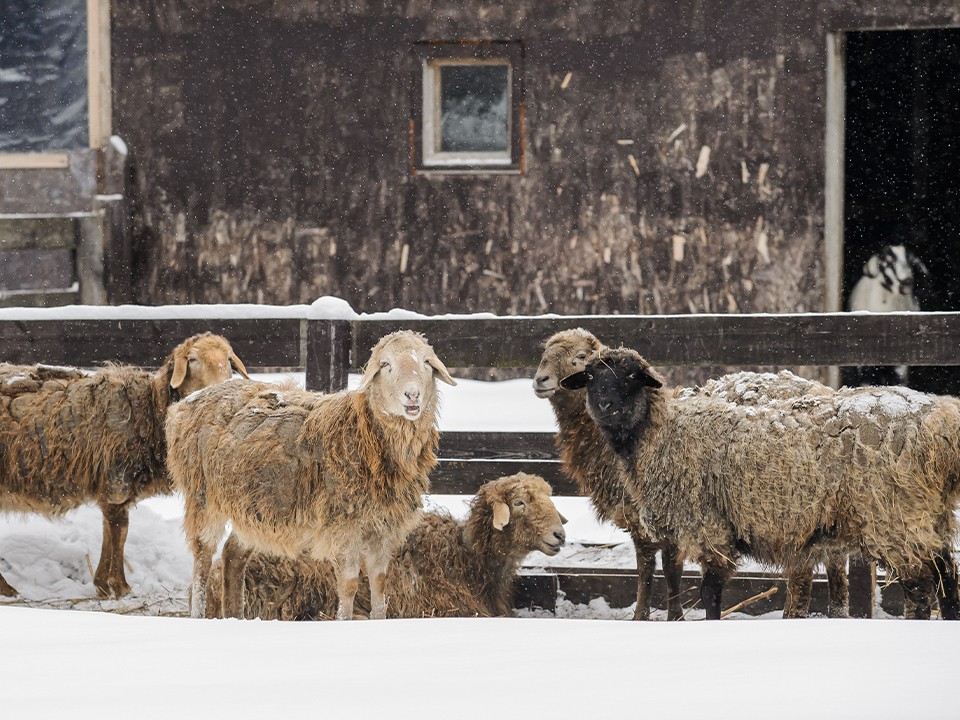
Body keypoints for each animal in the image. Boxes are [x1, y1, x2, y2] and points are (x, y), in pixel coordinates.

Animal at [0, 334, 248, 600]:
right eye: (192, 359)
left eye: (229, 360)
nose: (221, 387)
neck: (150, 411)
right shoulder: (117, 477)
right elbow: (120, 531)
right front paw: (119, 586)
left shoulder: (113, 486)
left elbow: (111, 532)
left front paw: (103, 584)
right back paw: (7, 589)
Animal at [167, 332, 460, 620]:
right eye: (386, 364)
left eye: (426, 363)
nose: (413, 395)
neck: (362, 432)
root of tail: (187, 403)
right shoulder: (343, 526)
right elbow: (349, 585)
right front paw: (344, 621)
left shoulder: (382, 528)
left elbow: (380, 585)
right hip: (203, 496)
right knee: (202, 558)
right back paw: (198, 614)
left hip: (255, 508)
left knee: (233, 554)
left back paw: (235, 616)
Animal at [536, 330, 688, 620]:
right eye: (544, 356)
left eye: (580, 356)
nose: (540, 380)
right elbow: (667, 567)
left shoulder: (647, 512)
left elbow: (652, 567)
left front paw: (647, 615)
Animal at [564, 348, 960, 620]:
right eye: (590, 377)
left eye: (631, 377)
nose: (605, 404)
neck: (663, 434)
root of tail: (939, 422)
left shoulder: (710, 526)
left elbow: (710, 591)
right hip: (927, 518)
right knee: (946, 576)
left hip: (892, 519)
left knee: (920, 588)